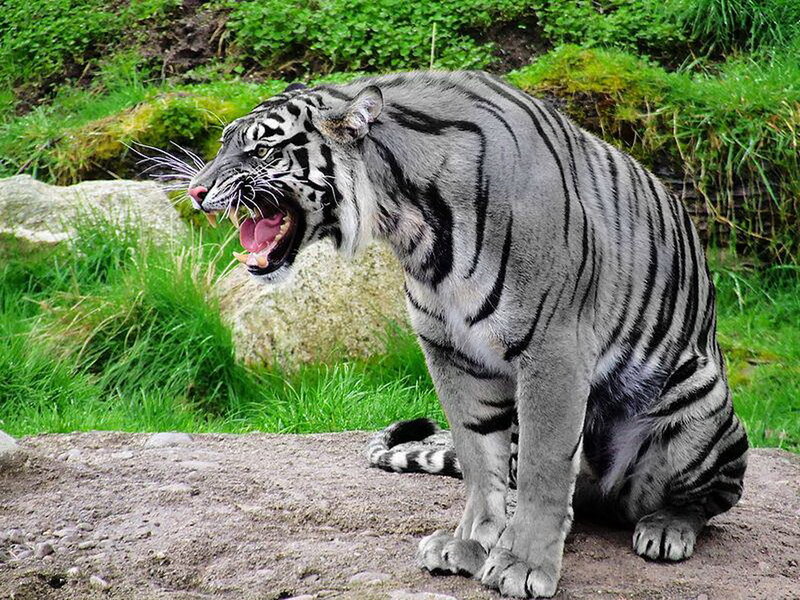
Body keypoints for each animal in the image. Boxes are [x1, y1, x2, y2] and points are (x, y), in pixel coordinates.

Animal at [185, 71, 748, 598]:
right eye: (224, 143)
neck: (413, 225)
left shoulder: (554, 348)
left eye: (261, 149)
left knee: (711, 498)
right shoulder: (452, 351)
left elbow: (546, 464)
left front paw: (523, 564)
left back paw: (666, 529)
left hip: (700, 396)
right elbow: (478, 456)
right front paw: (474, 543)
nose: (195, 191)